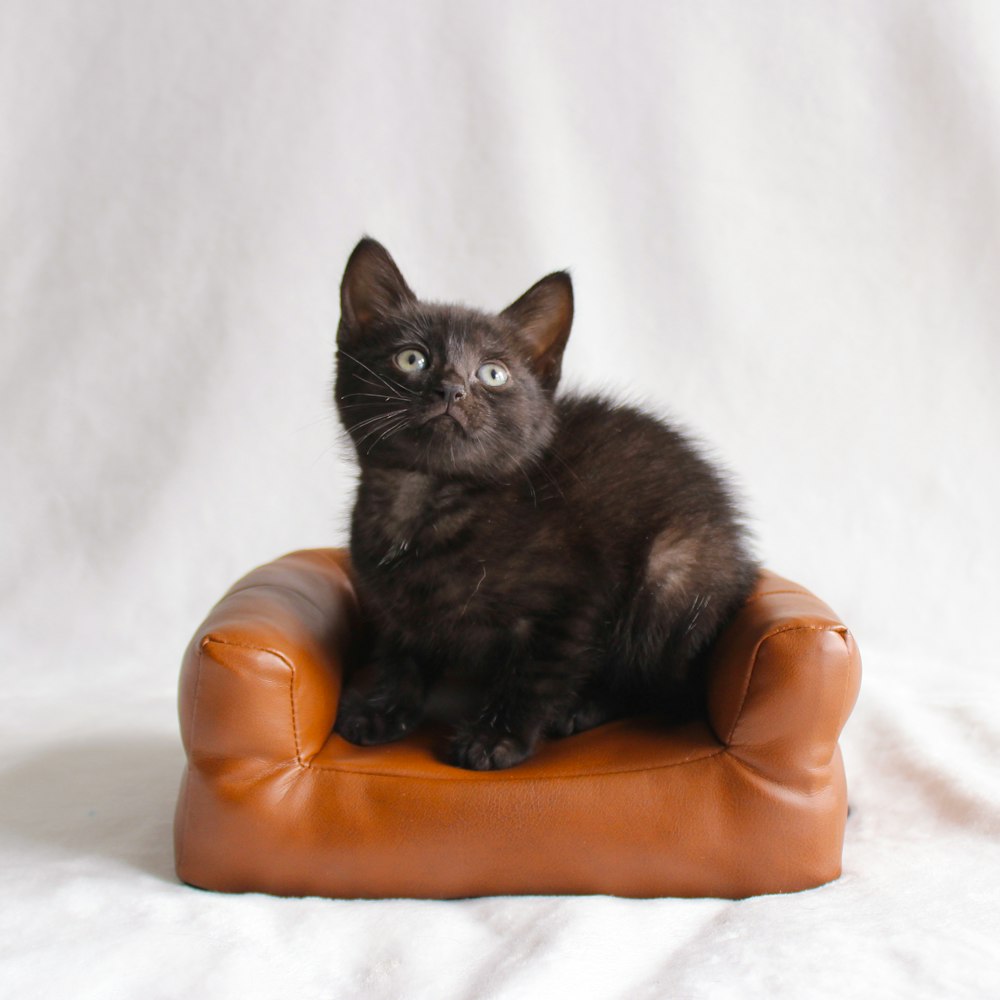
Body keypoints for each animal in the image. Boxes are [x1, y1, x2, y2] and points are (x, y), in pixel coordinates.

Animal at [332, 238, 752, 768]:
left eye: (493, 373)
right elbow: (399, 658)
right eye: (412, 359)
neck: (423, 500)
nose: (451, 389)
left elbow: (534, 674)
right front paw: (383, 711)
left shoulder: (573, 600)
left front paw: (496, 738)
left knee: (661, 688)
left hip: (673, 570)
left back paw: (582, 708)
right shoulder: (396, 611)